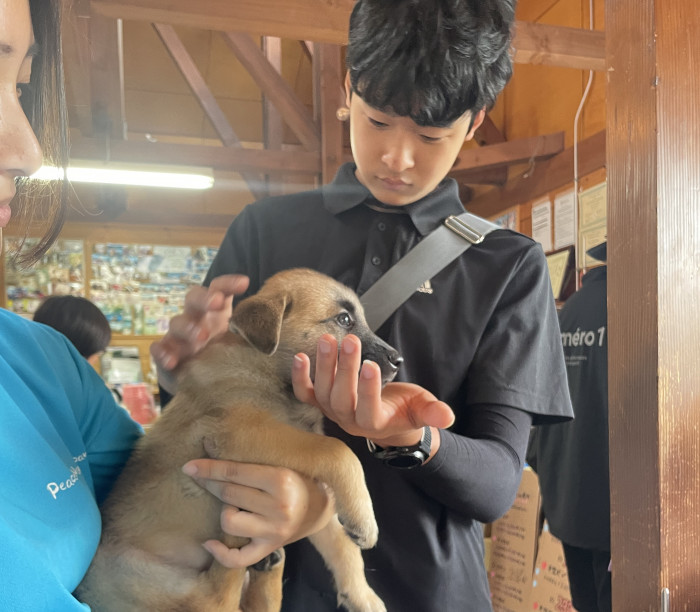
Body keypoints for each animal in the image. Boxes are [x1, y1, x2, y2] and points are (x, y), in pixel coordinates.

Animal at [74, 268, 402, 612]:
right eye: (344, 320)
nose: (398, 360)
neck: (266, 369)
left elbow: (340, 542)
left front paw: (363, 595)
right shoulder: (242, 432)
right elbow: (337, 451)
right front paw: (366, 520)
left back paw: (268, 561)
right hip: (145, 578)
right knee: (216, 596)